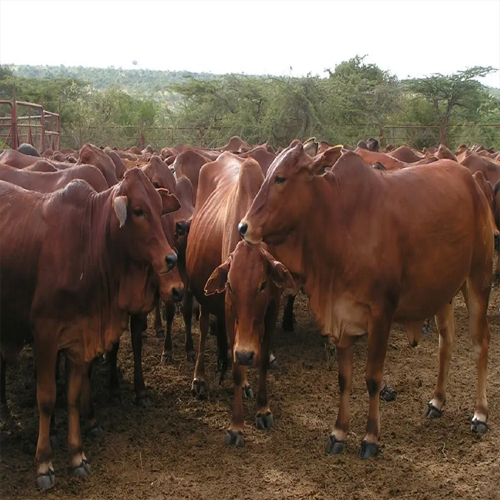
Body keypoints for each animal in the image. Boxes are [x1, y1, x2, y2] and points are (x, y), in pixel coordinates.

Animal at [0, 170, 180, 490]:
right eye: (138, 211)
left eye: (160, 208)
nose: (171, 259)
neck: (88, 244)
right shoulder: (45, 336)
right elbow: (47, 398)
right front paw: (44, 462)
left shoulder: (79, 339)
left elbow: (72, 395)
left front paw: (76, 455)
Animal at [238, 145, 492, 458]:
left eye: (281, 178)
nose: (243, 227)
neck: (339, 222)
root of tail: (473, 182)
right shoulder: (341, 316)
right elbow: (344, 379)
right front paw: (339, 432)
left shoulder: (382, 313)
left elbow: (372, 377)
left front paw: (371, 437)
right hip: (442, 291)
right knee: (447, 341)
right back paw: (437, 401)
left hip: (478, 280)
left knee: (480, 343)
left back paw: (480, 414)